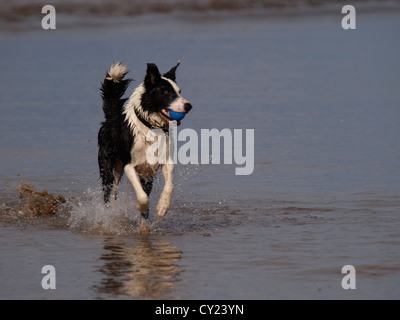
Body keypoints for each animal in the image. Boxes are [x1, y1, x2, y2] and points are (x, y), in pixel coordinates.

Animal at [96, 62, 191, 232]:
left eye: (179, 92)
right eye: (166, 91)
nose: (189, 106)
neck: (150, 128)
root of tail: (111, 118)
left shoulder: (164, 162)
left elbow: (169, 186)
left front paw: (162, 207)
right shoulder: (129, 166)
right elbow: (142, 197)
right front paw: (140, 206)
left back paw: (144, 226)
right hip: (109, 169)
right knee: (109, 196)